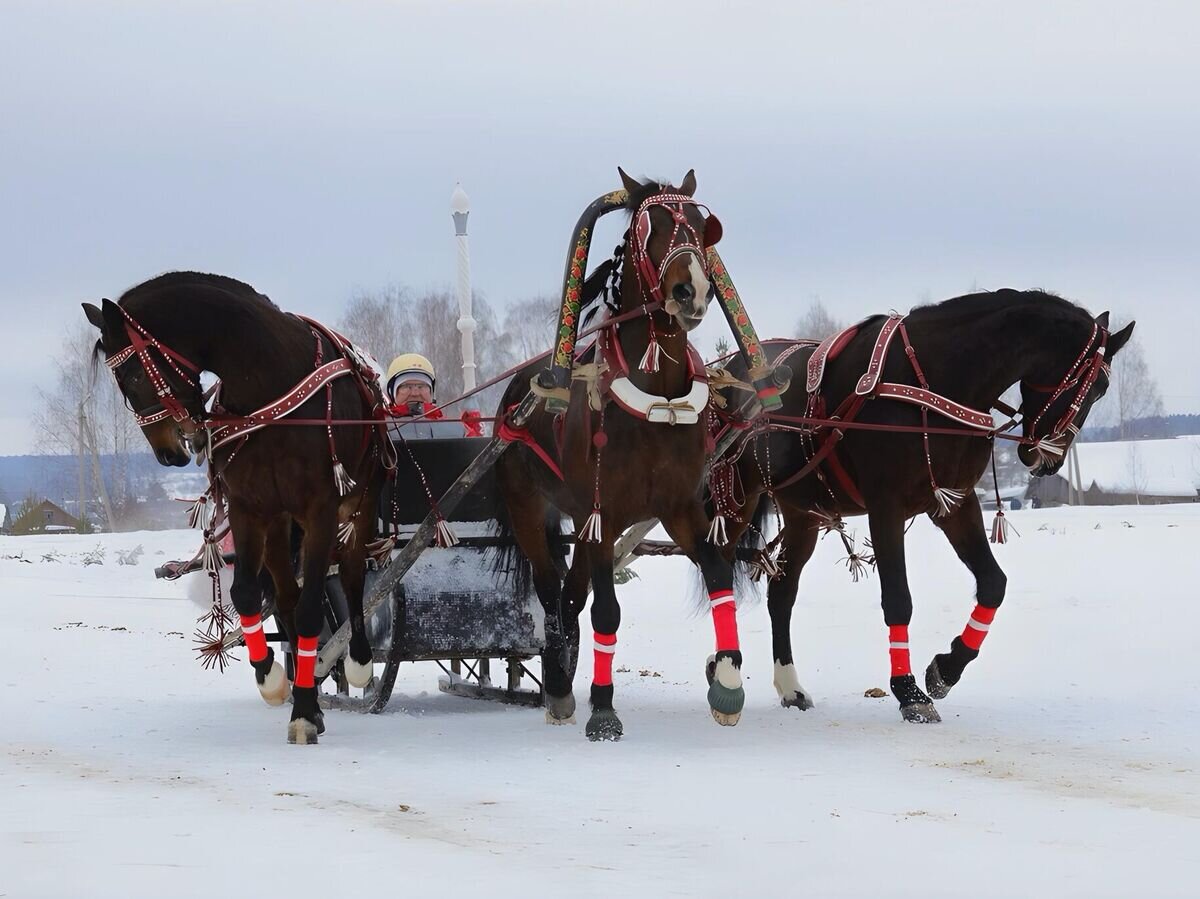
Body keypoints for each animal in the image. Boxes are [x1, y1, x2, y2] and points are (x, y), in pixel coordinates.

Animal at [84, 273, 384, 744]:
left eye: (131, 374)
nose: (168, 452)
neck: (269, 383)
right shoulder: (250, 507)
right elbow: (247, 593)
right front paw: (274, 679)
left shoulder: (320, 508)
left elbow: (314, 608)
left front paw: (303, 710)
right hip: (280, 523)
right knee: (285, 596)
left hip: (361, 502)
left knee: (352, 577)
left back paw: (355, 661)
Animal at [492, 171, 734, 739]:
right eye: (652, 228)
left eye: (701, 226)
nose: (692, 289)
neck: (657, 397)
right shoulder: (601, 513)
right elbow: (606, 610)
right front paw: (603, 707)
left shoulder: (680, 507)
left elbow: (717, 576)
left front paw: (728, 683)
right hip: (530, 507)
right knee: (550, 591)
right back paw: (559, 686)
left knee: (569, 595)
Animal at [720, 289, 1132, 720]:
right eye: (1096, 385)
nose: (1048, 460)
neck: (934, 382)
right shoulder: (885, 505)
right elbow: (898, 599)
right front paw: (908, 690)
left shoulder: (953, 502)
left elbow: (993, 584)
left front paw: (946, 669)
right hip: (733, 502)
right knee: (717, 567)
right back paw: (725, 672)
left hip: (803, 515)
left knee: (781, 593)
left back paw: (789, 686)